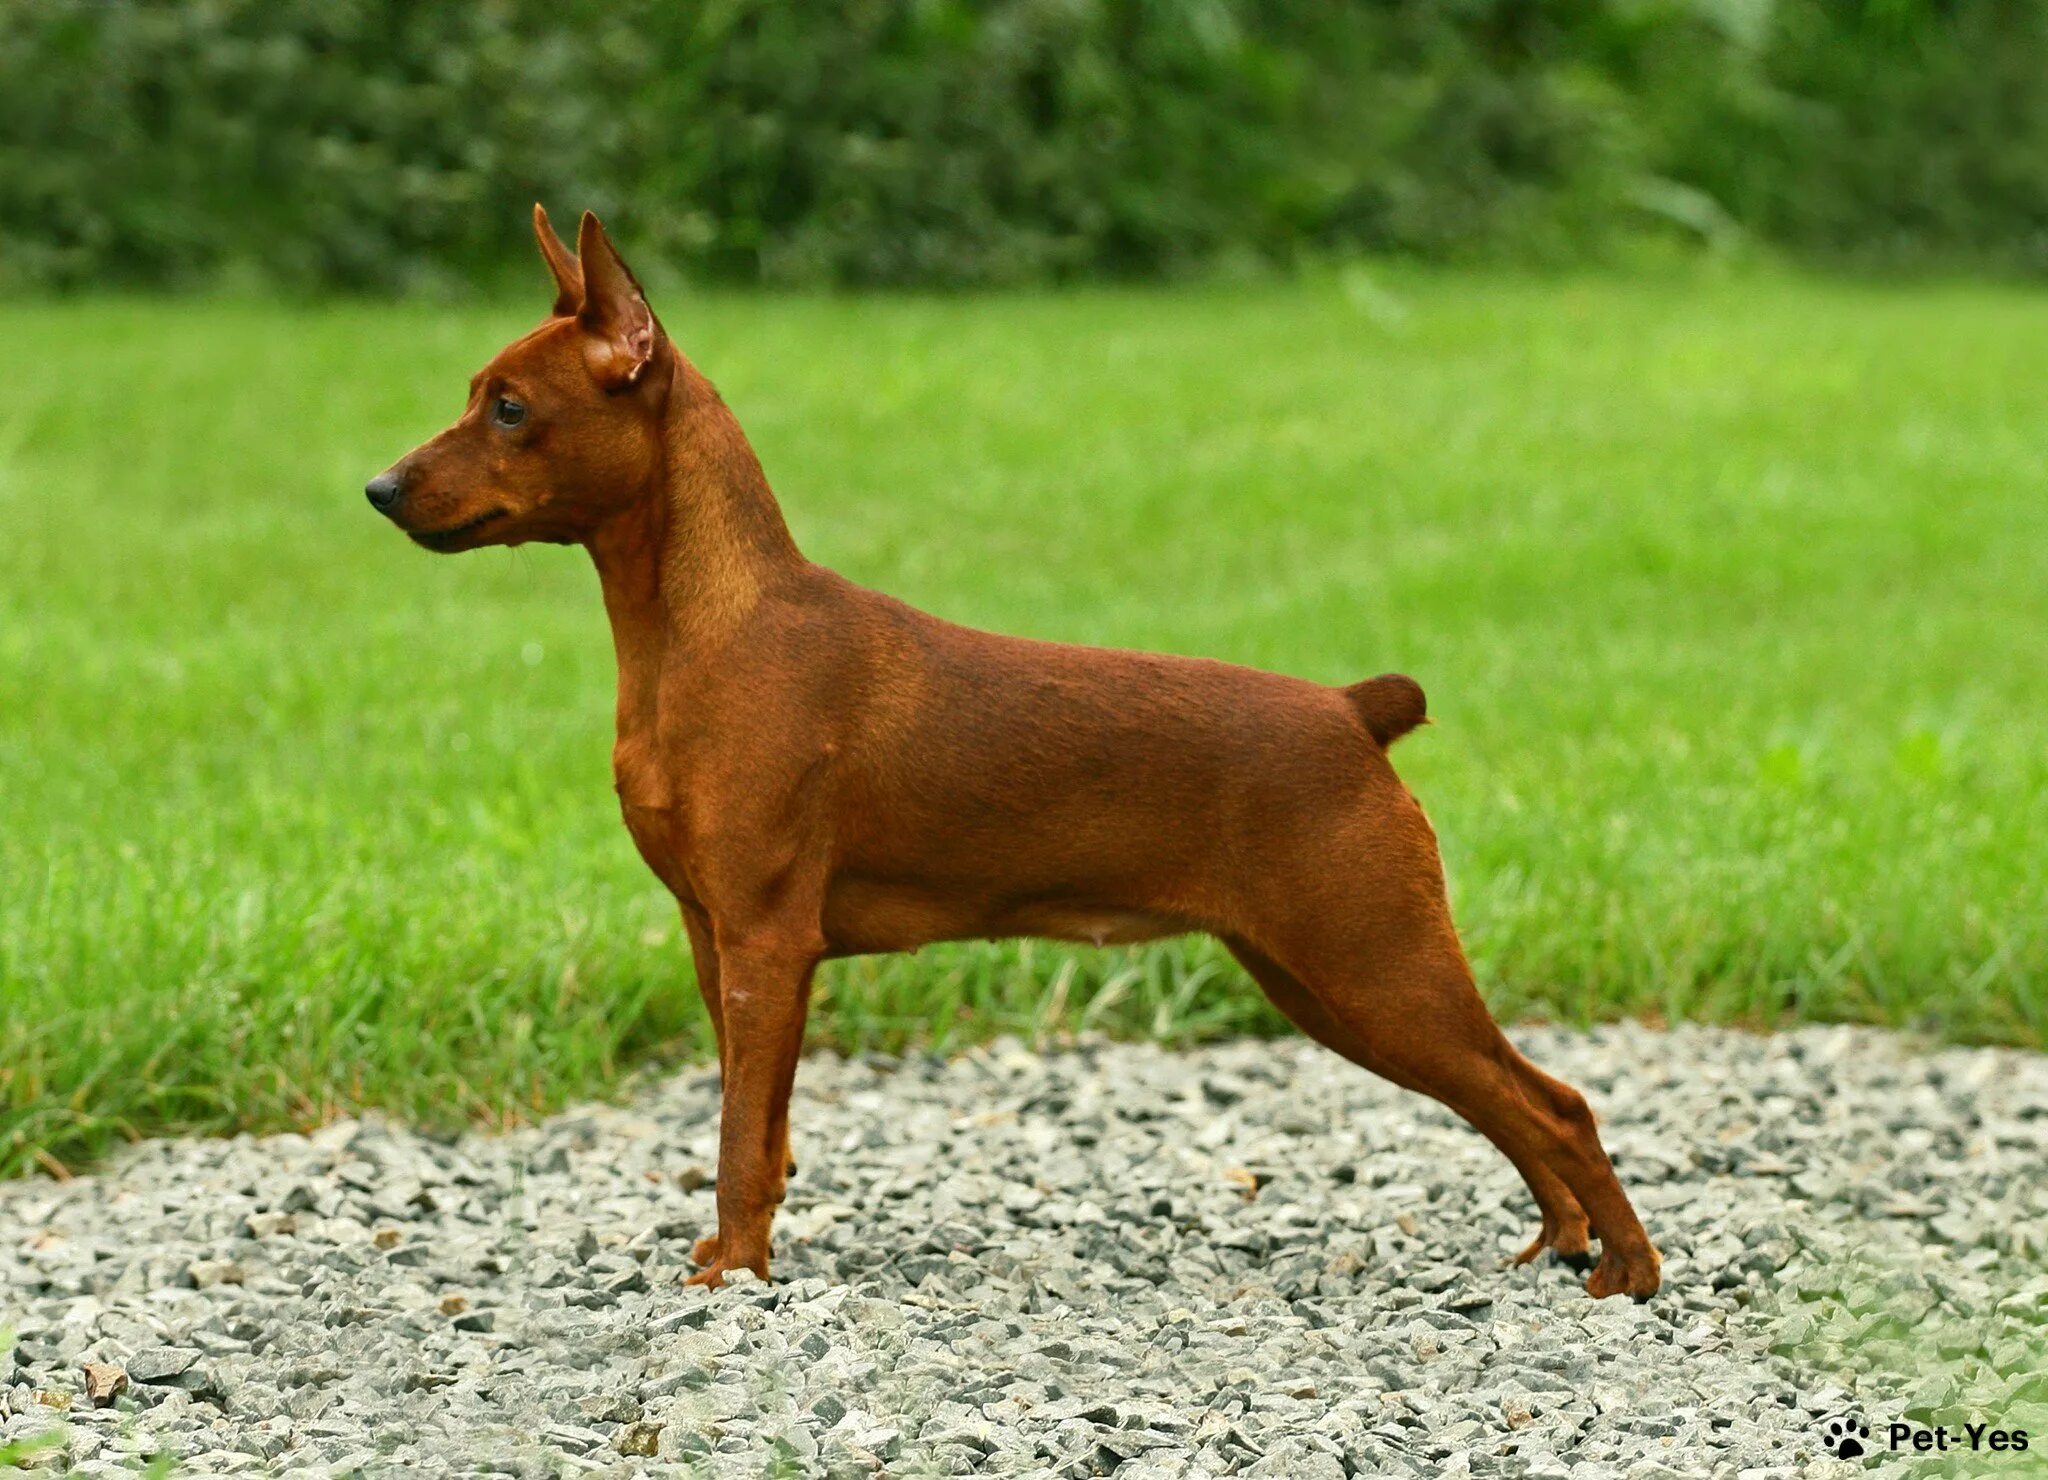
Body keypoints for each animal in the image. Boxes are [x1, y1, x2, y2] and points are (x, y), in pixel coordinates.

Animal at [364, 208, 1646, 1293]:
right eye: (476, 395)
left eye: (509, 408)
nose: (376, 488)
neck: (703, 629)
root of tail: (1348, 709)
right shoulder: (712, 934)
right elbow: (760, 1127)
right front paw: (744, 1249)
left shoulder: (768, 941)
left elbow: (736, 1138)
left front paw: (733, 1271)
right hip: (1325, 982)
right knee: (1511, 1103)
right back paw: (1557, 1241)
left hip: (1372, 968)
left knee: (1556, 1104)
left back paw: (1626, 1271)